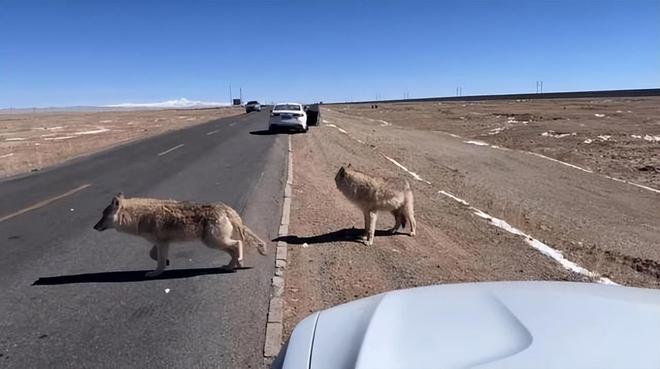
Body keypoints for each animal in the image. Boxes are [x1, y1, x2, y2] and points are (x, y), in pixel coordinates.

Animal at [93, 193, 268, 276]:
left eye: (103, 216)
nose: (94, 227)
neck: (139, 216)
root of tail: (225, 208)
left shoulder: (162, 242)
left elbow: (159, 261)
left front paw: (156, 273)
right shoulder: (161, 242)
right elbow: (154, 255)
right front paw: (166, 263)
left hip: (213, 242)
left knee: (237, 245)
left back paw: (237, 262)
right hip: (215, 242)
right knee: (235, 248)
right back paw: (231, 265)